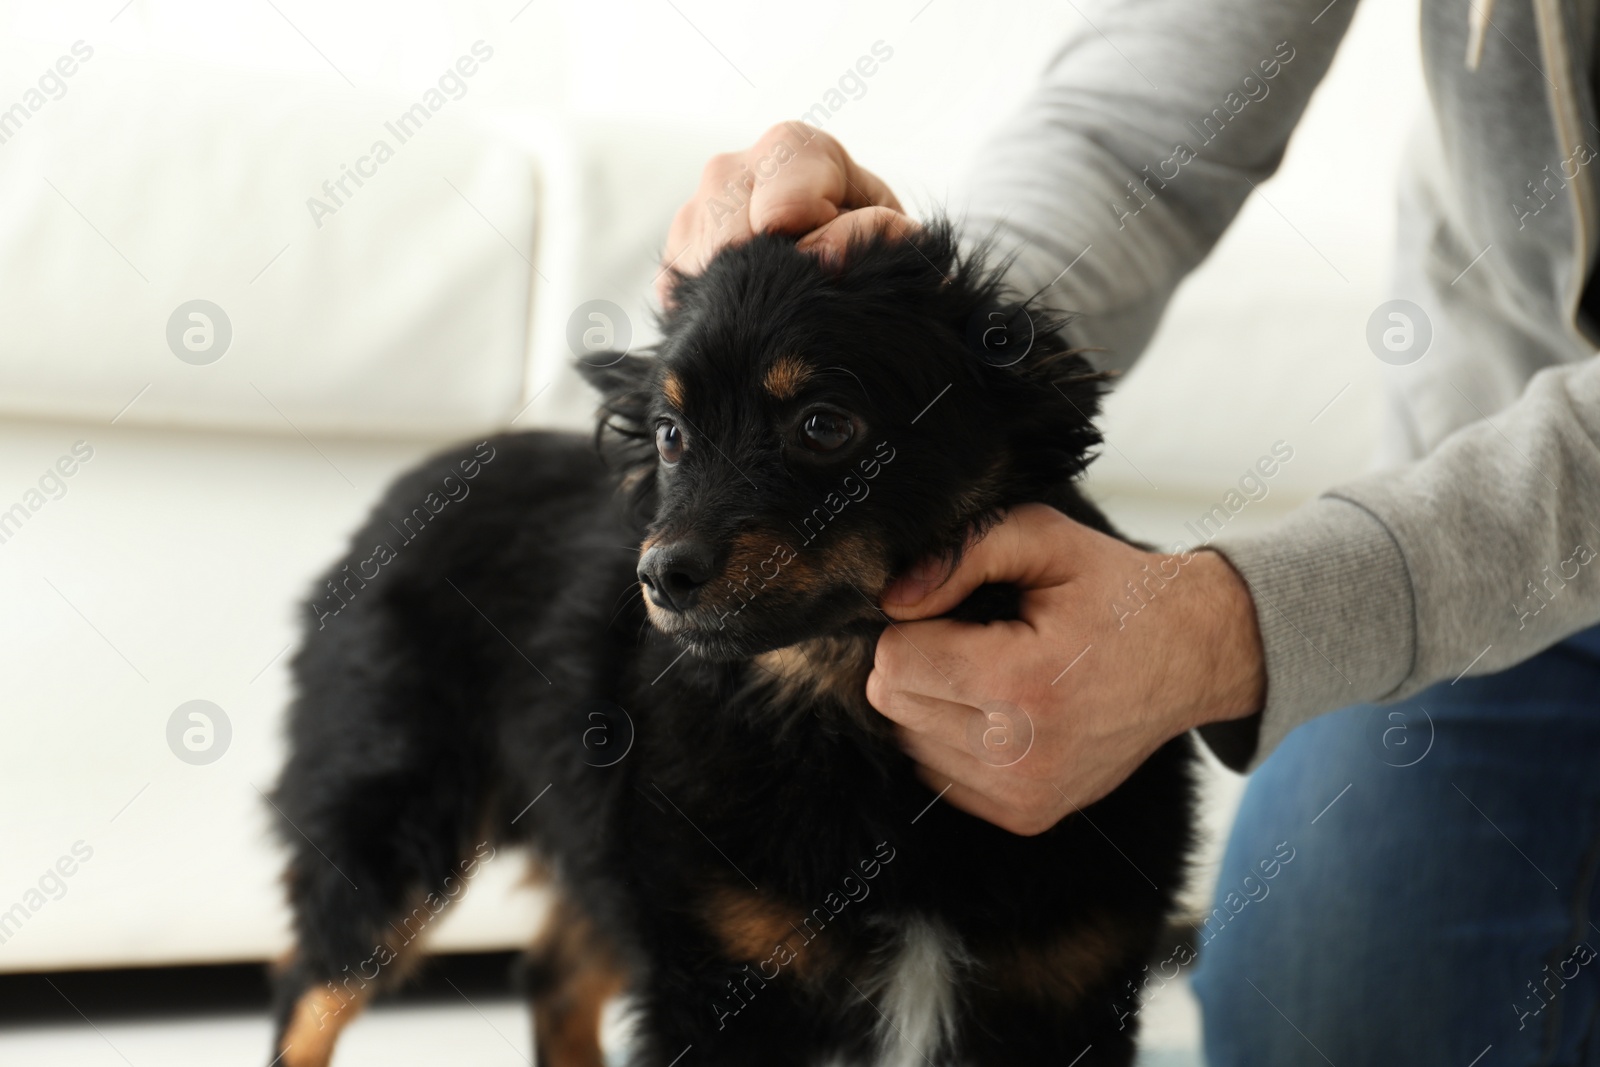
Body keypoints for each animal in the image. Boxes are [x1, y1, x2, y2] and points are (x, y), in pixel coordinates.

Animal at [268, 219, 1196, 1067]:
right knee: (311, 995)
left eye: (824, 425)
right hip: (392, 823)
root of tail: (406, 492)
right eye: (669, 433)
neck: (846, 709)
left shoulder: (1071, 991)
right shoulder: (717, 978)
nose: (660, 574)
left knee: (550, 976)